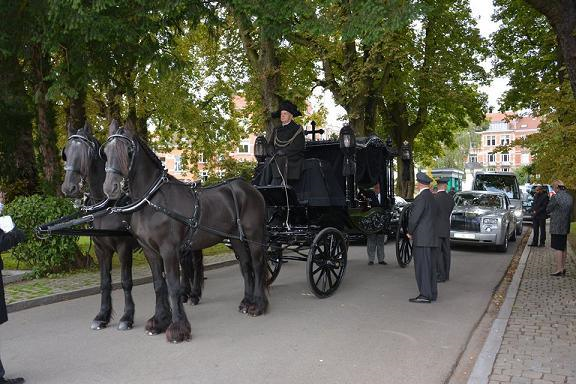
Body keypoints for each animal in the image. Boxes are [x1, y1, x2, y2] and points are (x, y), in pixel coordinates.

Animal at [60, 123, 204, 332]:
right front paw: (102, 316)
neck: (108, 205)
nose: (68, 188)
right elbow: (105, 282)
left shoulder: (124, 247)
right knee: (185, 264)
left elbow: (126, 281)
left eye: (85, 153)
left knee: (196, 262)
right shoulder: (101, 248)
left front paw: (127, 317)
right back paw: (185, 293)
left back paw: (194, 294)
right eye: (66, 152)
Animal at [101, 121, 268, 342]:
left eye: (128, 150)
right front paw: (159, 321)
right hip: (237, 238)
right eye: (105, 151)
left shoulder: (169, 249)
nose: (110, 188)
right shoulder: (149, 251)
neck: (152, 200)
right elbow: (159, 284)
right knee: (246, 266)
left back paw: (258, 305)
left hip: (254, 234)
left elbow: (173, 285)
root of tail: (250, 188)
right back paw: (246, 302)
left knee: (257, 265)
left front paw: (178, 328)